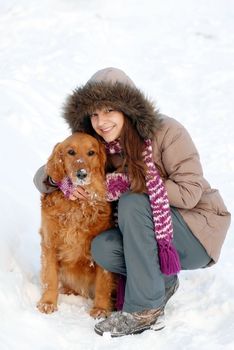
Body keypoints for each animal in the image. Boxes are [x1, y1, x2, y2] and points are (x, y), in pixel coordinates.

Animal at [36, 133, 116, 318]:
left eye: (91, 152)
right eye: (71, 152)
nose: (82, 174)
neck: (78, 205)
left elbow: (103, 283)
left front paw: (100, 308)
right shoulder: (49, 243)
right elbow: (50, 277)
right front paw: (48, 302)